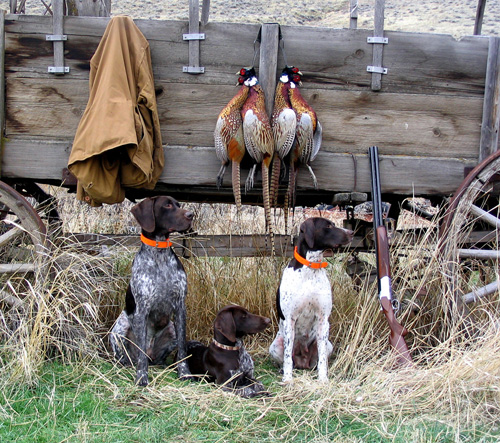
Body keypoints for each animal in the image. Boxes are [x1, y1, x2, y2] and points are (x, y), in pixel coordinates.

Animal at [109, 196, 193, 386]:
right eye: (167, 205)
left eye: (178, 204)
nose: (191, 214)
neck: (159, 254)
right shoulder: (142, 309)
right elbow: (140, 353)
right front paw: (141, 377)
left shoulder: (180, 307)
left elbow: (183, 349)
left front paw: (184, 373)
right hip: (118, 330)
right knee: (131, 356)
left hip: (171, 329)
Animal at [270, 217, 352, 384]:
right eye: (328, 226)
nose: (351, 232)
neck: (311, 268)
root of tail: (302, 362)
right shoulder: (289, 320)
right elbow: (287, 357)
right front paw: (288, 379)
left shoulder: (323, 320)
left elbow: (322, 360)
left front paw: (323, 379)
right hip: (275, 346)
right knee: (287, 359)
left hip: (328, 344)